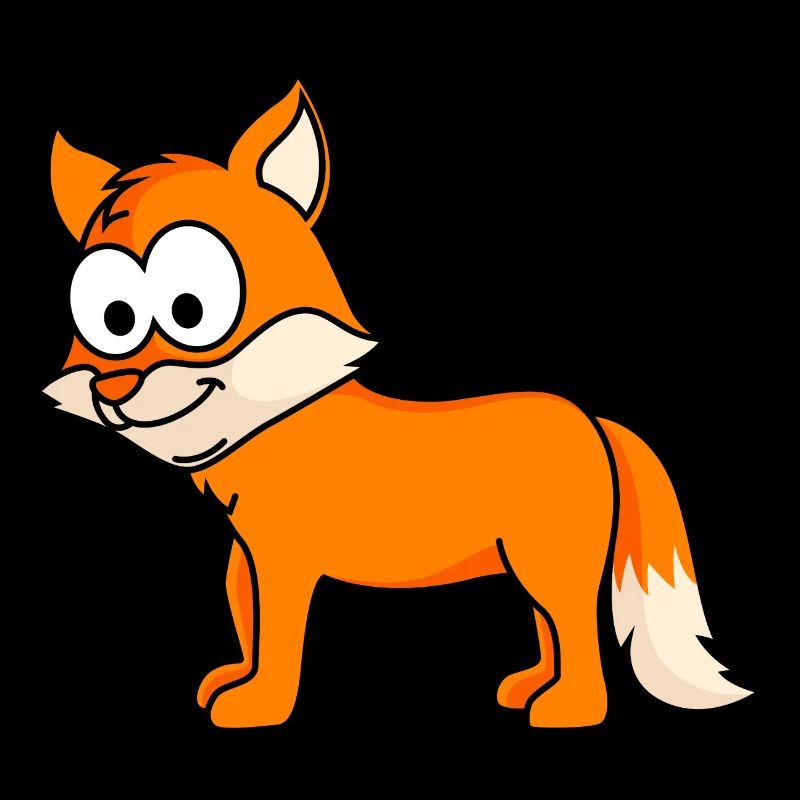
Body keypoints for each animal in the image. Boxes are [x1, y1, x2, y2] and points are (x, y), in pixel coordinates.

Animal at [45, 82, 750, 728]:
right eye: (113, 318)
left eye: (189, 308)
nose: (112, 392)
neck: (273, 420)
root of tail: (591, 419)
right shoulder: (247, 555)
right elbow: (246, 623)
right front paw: (232, 682)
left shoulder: (285, 561)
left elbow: (276, 640)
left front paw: (258, 707)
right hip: (527, 565)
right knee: (549, 628)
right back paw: (529, 687)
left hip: (549, 562)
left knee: (576, 630)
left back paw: (568, 711)